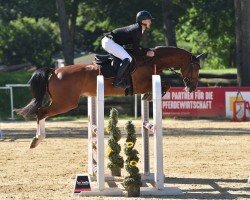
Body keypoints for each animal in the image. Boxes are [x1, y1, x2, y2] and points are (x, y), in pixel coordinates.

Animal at [16, 45, 201, 148]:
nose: (191, 88)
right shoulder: (141, 84)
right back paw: (37, 139)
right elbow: (166, 84)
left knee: (41, 112)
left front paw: (148, 96)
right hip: (65, 103)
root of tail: (55, 71)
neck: (151, 60)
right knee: (41, 112)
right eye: (196, 68)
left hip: (62, 102)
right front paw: (151, 95)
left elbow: (165, 84)